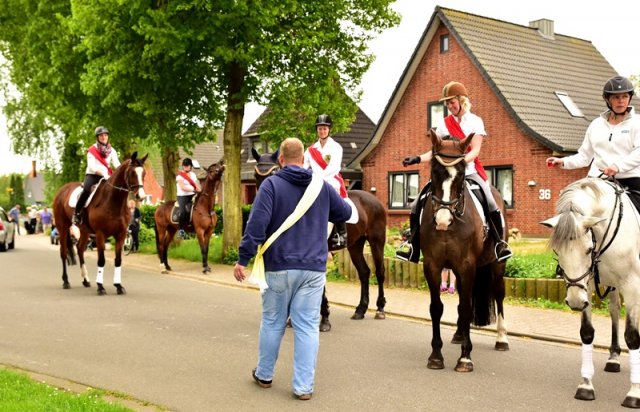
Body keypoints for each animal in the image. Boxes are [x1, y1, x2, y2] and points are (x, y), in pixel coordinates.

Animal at [52, 153, 148, 294]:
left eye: (144, 173)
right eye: (132, 172)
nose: (141, 196)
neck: (113, 202)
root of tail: (62, 190)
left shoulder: (121, 235)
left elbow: (118, 260)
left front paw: (118, 286)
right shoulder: (100, 234)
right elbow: (101, 260)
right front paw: (100, 286)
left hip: (84, 231)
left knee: (80, 249)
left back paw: (86, 280)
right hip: (63, 227)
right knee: (63, 253)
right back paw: (66, 281)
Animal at [420, 130, 510, 374]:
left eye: (460, 175)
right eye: (434, 171)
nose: (442, 220)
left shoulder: (467, 265)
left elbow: (468, 307)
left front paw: (465, 359)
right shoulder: (432, 265)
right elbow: (436, 308)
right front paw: (435, 356)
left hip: (497, 265)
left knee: (498, 295)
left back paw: (501, 339)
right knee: (461, 298)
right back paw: (460, 334)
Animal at [540, 178, 640, 408]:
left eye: (587, 249)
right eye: (557, 251)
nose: (575, 302)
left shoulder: (632, 284)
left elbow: (632, 336)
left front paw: (634, 393)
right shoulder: (588, 286)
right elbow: (587, 332)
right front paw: (585, 386)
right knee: (614, 310)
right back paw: (613, 358)